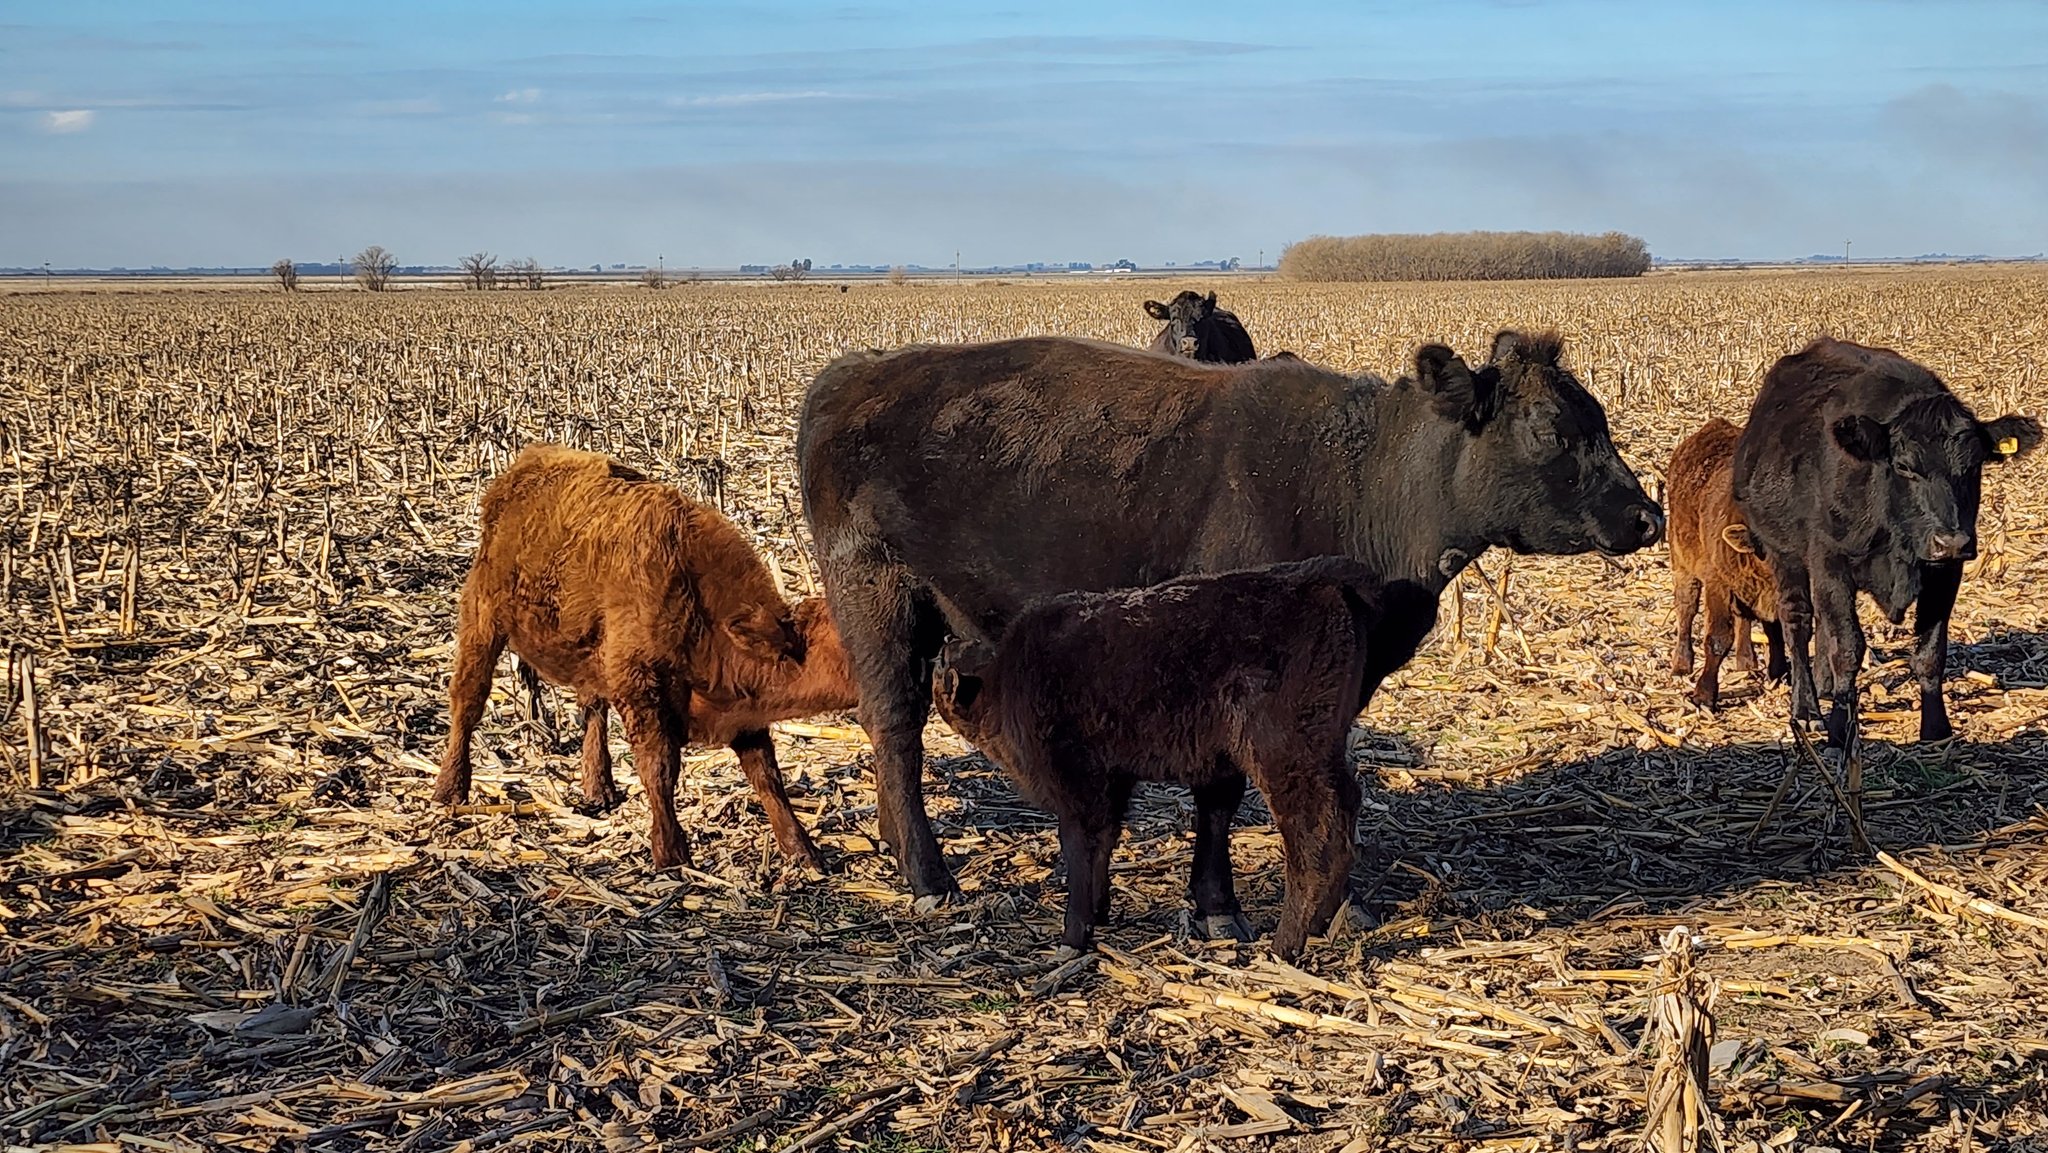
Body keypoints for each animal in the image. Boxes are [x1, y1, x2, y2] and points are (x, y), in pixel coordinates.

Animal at [436, 446, 860, 872]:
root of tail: (531, 460)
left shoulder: (745, 712)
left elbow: (766, 775)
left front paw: (802, 849)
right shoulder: (642, 690)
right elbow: (660, 768)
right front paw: (670, 853)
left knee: (592, 708)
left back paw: (599, 787)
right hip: (482, 616)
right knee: (468, 698)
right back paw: (450, 787)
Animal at [794, 329, 1662, 897]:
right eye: (1551, 429)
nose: (1647, 515)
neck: (1364, 481)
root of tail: (855, 371)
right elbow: (1220, 789)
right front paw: (1217, 905)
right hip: (874, 595)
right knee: (895, 726)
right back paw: (926, 873)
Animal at [933, 557, 1441, 958]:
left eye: (941, 667)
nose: (941, 646)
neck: (1004, 683)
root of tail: (1326, 583)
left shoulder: (1077, 780)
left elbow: (1078, 847)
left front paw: (1073, 935)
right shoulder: (1113, 779)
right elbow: (1105, 841)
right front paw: (1100, 909)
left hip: (1285, 751)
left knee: (1316, 832)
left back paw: (1285, 944)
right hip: (1321, 746)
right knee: (1346, 807)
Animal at [1671, 415, 1785, 704]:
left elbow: (1776, 631)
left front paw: (1780, 674)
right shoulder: (1717, 584)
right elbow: (1718, 637)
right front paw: (1703, 694)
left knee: (1743, 619)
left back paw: (1747, 661)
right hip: (1682, 561)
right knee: (1686, 609)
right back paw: (1681, 663)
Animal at [1736, 337, 2039, 745]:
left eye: (1974, 466)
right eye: (1905, 466)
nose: (1952, 540)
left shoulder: (1945, 572)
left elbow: (1930, 651)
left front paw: (1936, 730)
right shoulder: (1829, 560)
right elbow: (1847, 646)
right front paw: (1840, 729)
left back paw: (1825, 688)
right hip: (1784, 554)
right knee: (1798, 622)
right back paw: (1807, 708)